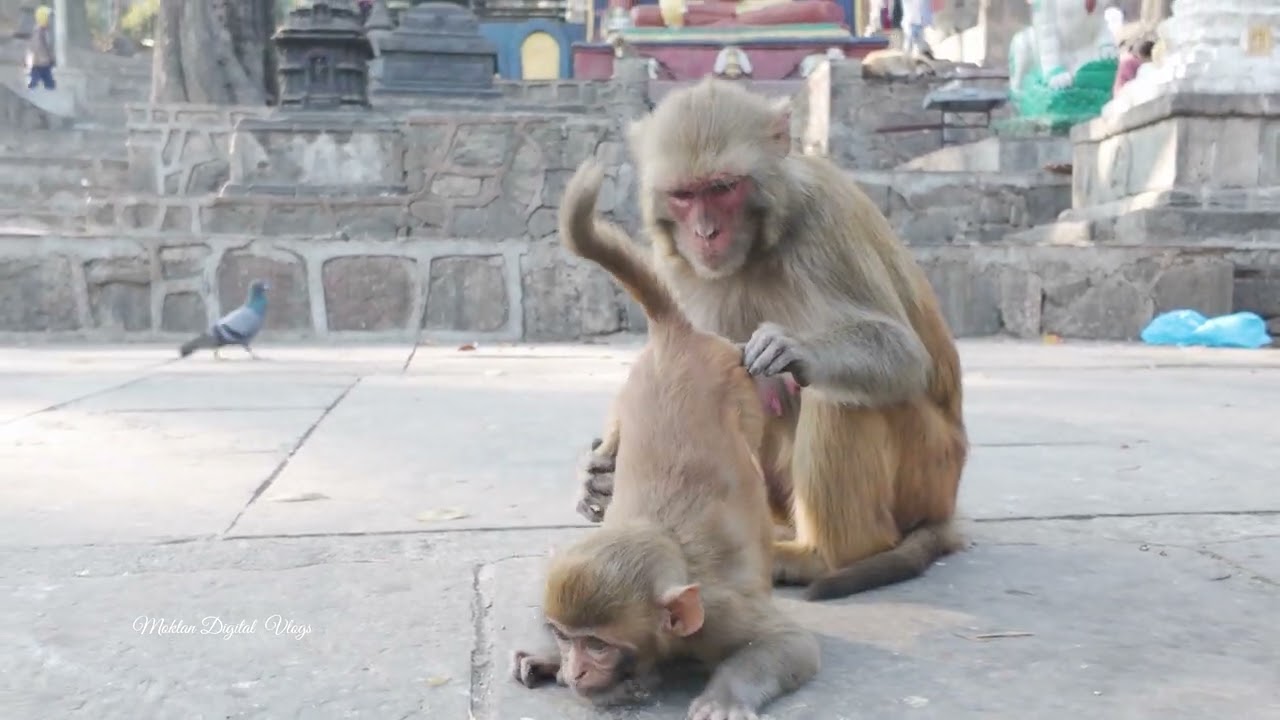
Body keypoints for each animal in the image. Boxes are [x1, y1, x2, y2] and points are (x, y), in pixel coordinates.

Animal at [512, 161, 820, 720]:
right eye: (567, 637)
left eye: (598, 645)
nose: (575, 670)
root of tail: (679, 335)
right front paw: (545, 657)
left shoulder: (718, 615)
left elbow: (789, 643)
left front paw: (724, 698)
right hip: (632, 392)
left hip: (740, 388)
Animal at [572, 76, 969, 602]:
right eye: (684, 194)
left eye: (723, 188)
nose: (706, 233)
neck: (758, 246)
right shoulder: (676, 265)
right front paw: (600, 475)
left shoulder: (823, 219)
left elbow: (904, 354)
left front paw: (790, 348)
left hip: (931, 470)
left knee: (836, 395)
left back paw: (821, 556)